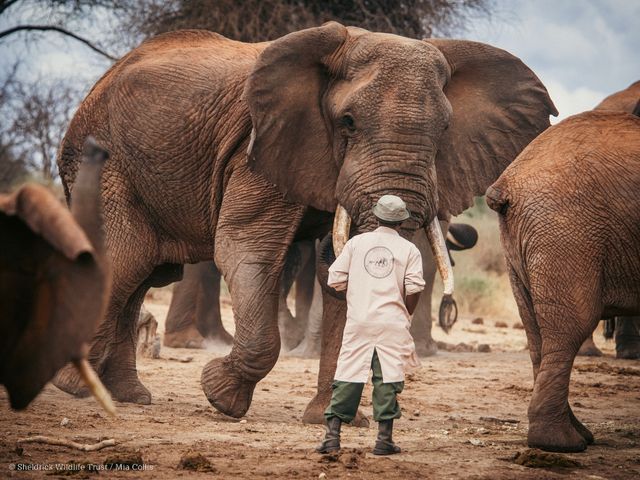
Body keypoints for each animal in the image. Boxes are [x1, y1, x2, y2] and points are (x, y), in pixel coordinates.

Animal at [55, 24, 556, 418]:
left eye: (445, 132)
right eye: (348, 122)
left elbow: (335, 270)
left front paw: (332, 420)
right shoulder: (258, 149)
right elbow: (247, 251)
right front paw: (220, 397)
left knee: (141, 276)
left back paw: (129, 396)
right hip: (103, 161)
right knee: (126, 259)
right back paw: (73, 388)